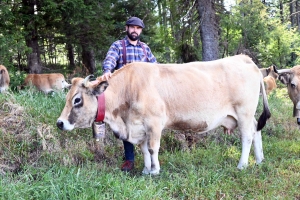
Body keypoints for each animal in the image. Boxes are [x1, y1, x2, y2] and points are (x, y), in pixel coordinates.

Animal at [56, 54, 272, 175]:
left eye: (77, 100)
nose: (60, 123)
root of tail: (243, 58)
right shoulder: (139, 126)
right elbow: (143, 150)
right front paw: (145, 170)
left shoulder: (154, 123)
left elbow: (153, 149)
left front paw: (155, 170)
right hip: (246, 115)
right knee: (256, 130)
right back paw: (260, 159)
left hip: (244, 111)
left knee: (247, 136)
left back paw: (243, 164)